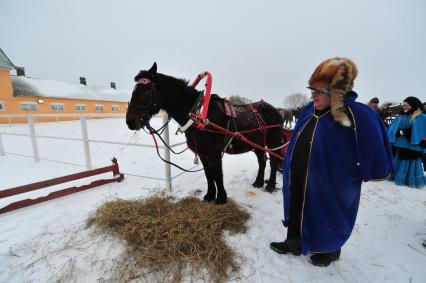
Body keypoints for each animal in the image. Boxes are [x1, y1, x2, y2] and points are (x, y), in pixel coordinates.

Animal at [125, 62, 282, 204]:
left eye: (146, 90)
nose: (130, 121)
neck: (198, 115)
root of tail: (276, 110)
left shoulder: (214, 153)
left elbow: (217, 174)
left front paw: (221, 198)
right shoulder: (202, 154)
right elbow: (209, 174)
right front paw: (209, 196)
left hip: (273, 141)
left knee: (274, 161)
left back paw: (270, 185)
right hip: (257, 143)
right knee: (261, 161)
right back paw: (258, 182)